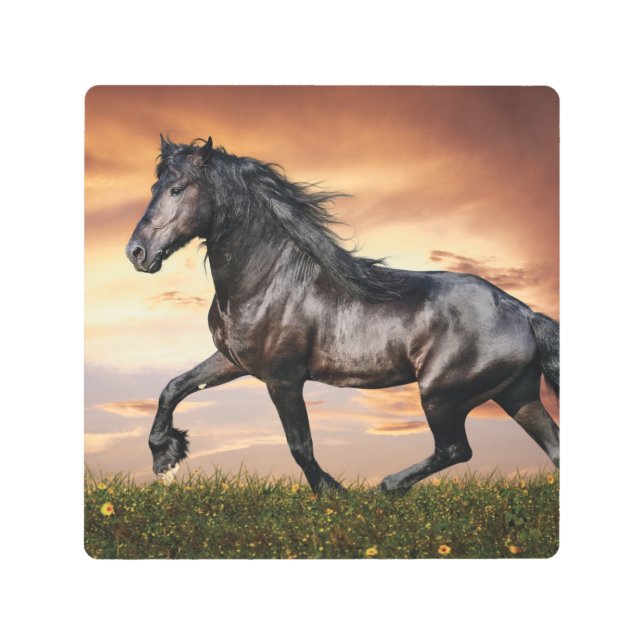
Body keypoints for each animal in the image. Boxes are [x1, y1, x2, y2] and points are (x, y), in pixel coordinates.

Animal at [125, 135, 560, 493]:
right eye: (154, 188)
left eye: (177, 189)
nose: (136, 252)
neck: (268, 280)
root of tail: (524, 313)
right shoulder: (233, 361)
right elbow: (173, 387)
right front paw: (165, 457)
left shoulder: (283, 378)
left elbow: (299, 445)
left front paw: (333, 493)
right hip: (516, 395)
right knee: (552, 447)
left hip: (442, 395)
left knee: (456, 449)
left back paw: (387, 487)